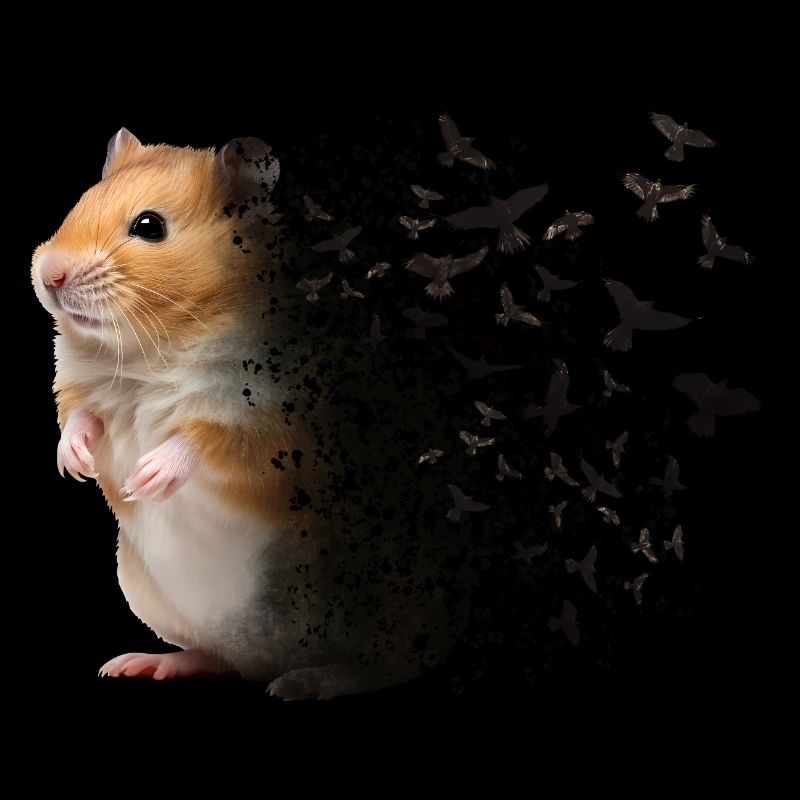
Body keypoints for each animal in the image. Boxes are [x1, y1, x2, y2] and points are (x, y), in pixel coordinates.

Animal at [32, 129, 471, 699]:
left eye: (149, 226)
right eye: (81, 201)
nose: (49, 274)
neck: (155, 346)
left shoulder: (269, 422)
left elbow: (201, 438)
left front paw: (147, 478)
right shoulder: (85, 391)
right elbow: (81, 420)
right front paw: (77, 466)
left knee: (382, 664)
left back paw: (303, 683)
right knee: (228, 660)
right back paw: (143, 664)